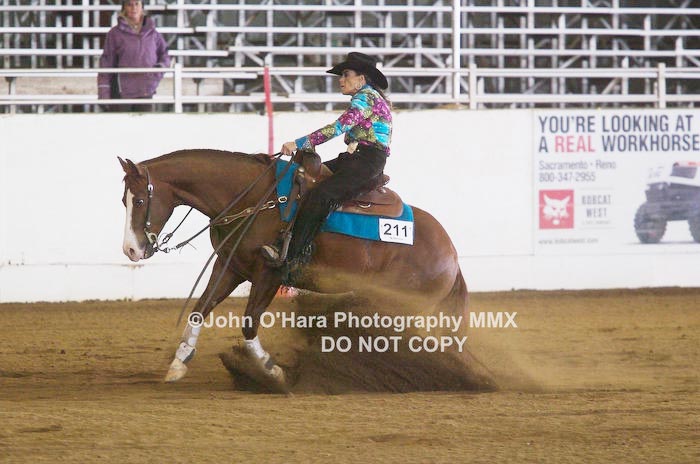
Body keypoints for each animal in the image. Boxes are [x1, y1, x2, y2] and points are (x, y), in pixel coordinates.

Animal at [119, 149, 468, 387]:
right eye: (124, 201)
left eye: (139, 201)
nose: (131, 250)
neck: (256, 200)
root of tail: (450, 253)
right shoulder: (230, 266)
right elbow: (199, 309)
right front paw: (179, 362)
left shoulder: (269, 274)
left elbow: (249, 322)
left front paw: (272, 371)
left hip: (399, 305)